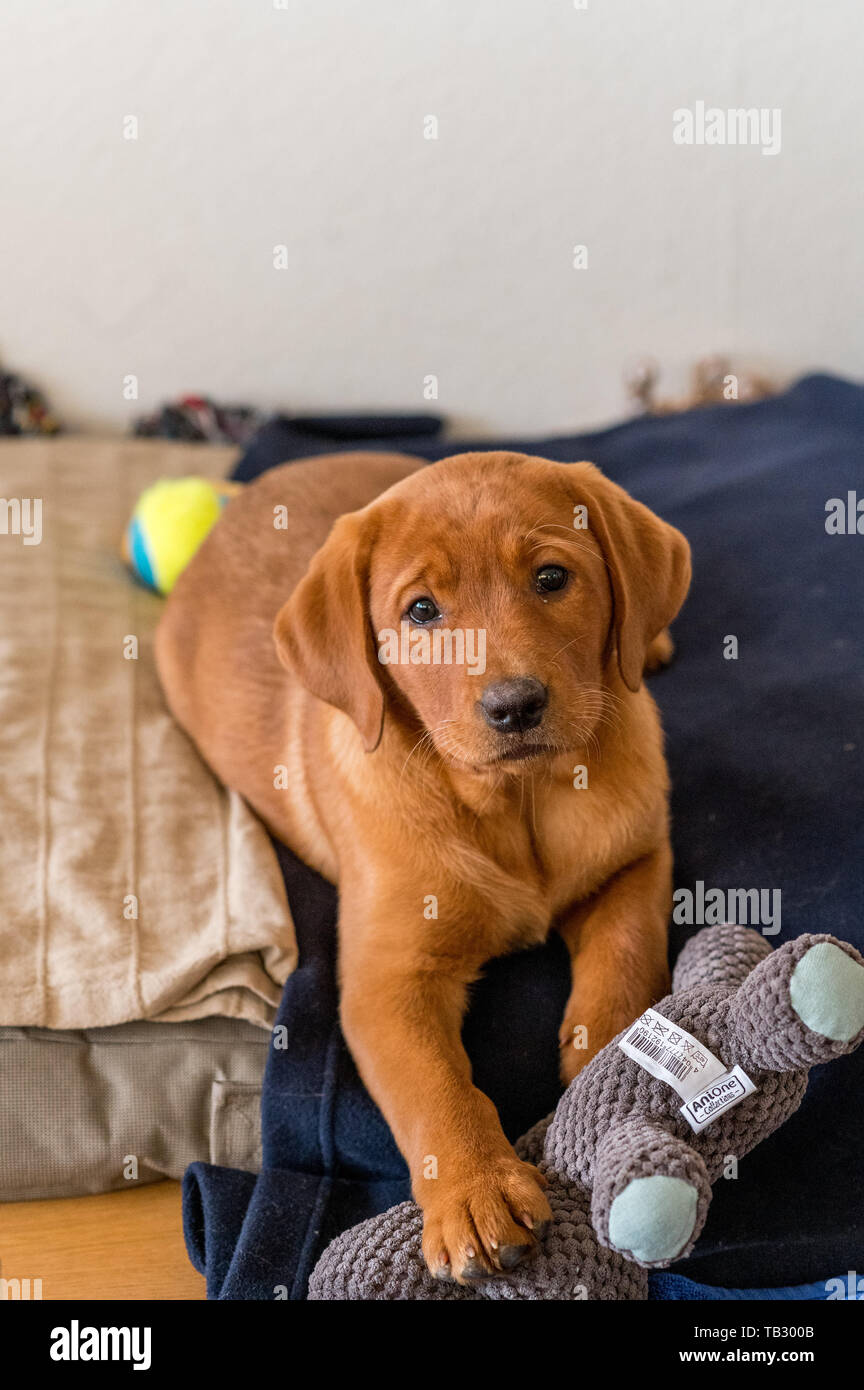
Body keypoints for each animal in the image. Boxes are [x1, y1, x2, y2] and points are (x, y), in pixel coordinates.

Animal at [155, 450, 694, 1284]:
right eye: (420, 612)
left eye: (551, 577)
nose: (514, 706)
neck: (518, 803)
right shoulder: (387, 981)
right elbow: (434, 1086)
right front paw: (476, 1193)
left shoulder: (636, 857)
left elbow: (628, 956)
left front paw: (608, 1061)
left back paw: (652, 642)